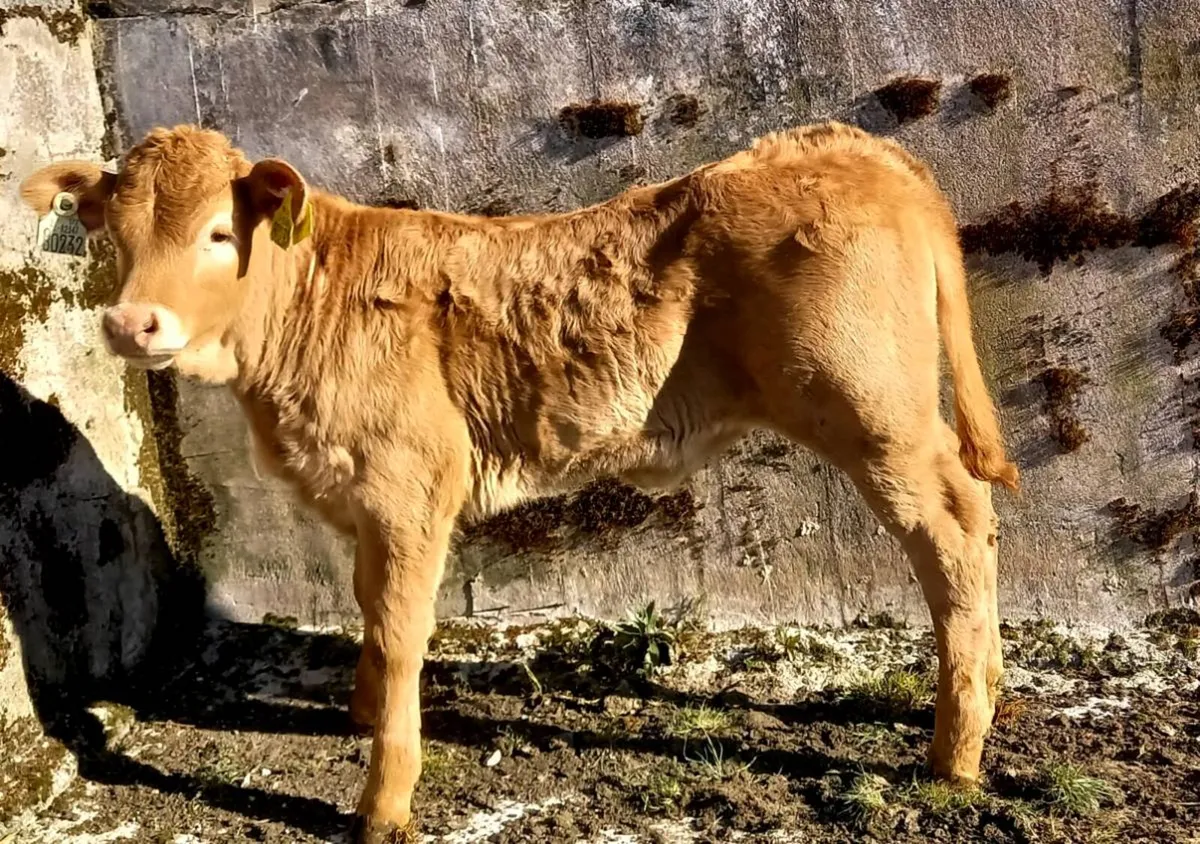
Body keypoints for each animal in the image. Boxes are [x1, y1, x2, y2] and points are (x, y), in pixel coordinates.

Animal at [21, 120, 1019, 843]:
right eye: (114, 236)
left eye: (220, 233)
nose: (132, 324)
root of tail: (845, 144)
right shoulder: (363, 500)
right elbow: (366, 606)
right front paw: (359, 711)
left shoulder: (410, 487)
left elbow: (400, 630)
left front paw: (383, 802)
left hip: (875, 415)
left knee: (956, 530)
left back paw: (956, 748)